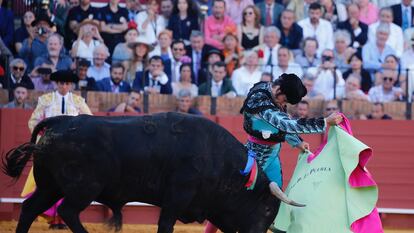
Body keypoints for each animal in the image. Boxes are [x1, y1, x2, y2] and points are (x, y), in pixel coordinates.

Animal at [3, 112, 286, 232]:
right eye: (267, 210)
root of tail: (59, 121)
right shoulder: (178, 195)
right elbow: (165, 224)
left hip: (50, 186)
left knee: (29, 209)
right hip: (82, 188)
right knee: (67, 211)